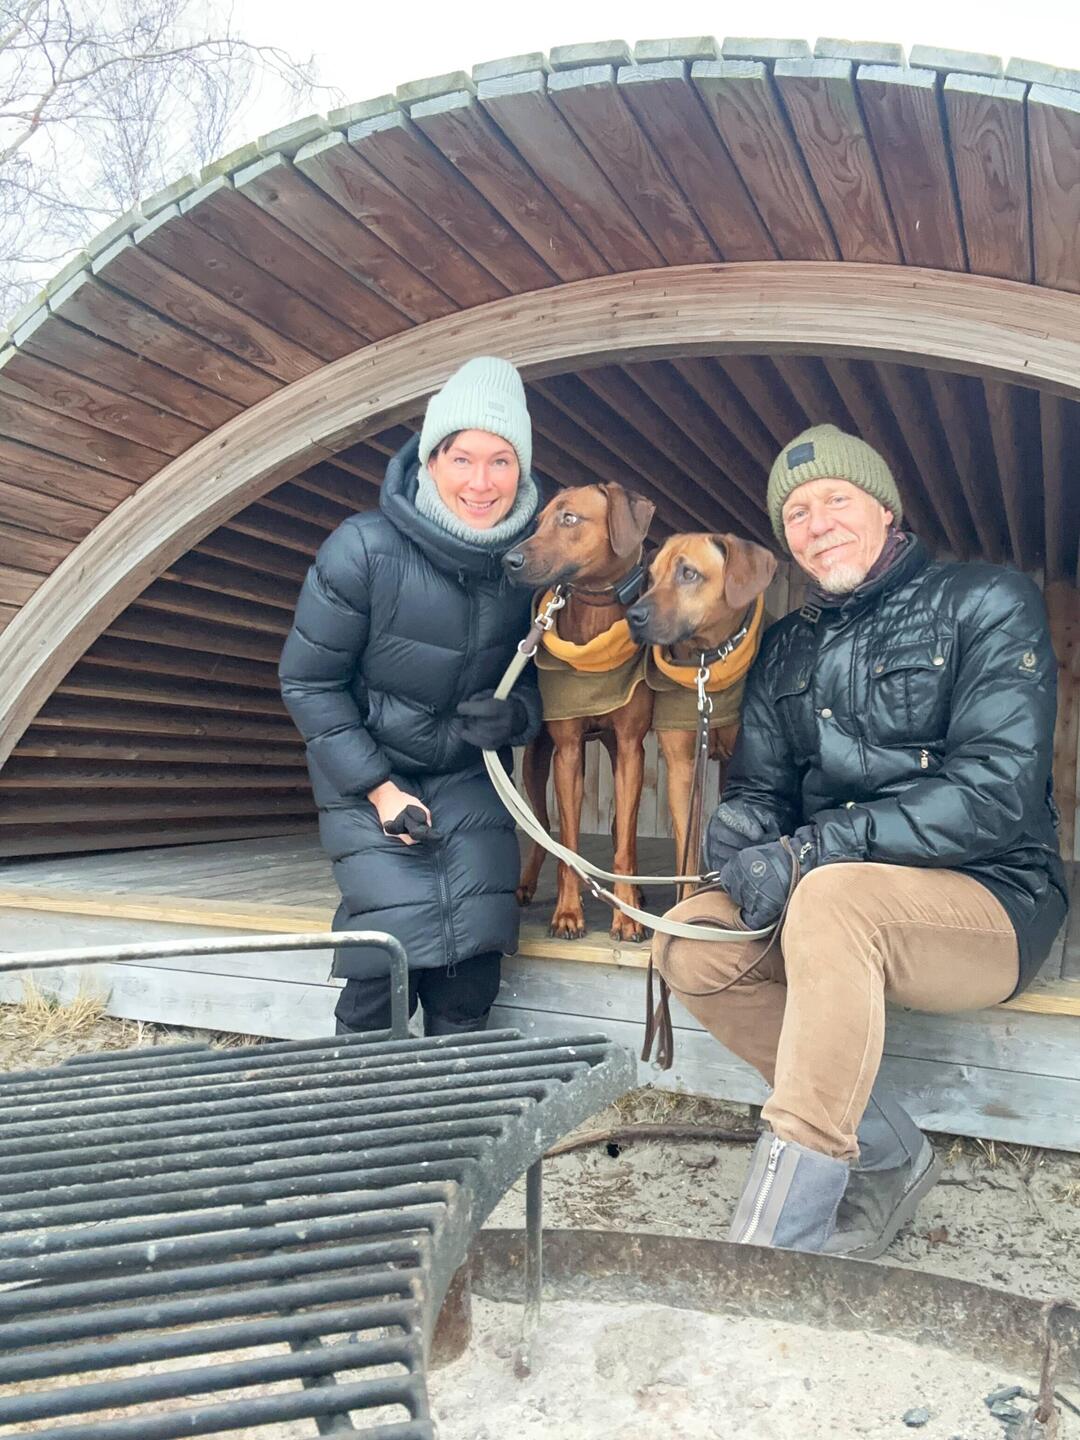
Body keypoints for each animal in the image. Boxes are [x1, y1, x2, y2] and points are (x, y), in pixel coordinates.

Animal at [503, 483, 656, 942]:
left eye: (569, 518)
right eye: (537, 522)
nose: (508, 561)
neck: (596, 613)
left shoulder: (631, 746)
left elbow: (625, 842)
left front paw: (627, 916)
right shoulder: (568, 750)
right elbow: (566, 845)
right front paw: (569, 913)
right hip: (536, 760)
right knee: (541, 825)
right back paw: (527, 884)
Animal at [627, 533, 777, 875]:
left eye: (689, 573)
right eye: (651, 577)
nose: (633, 616)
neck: (707, 663)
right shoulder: (682, 768)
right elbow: (688, 853)